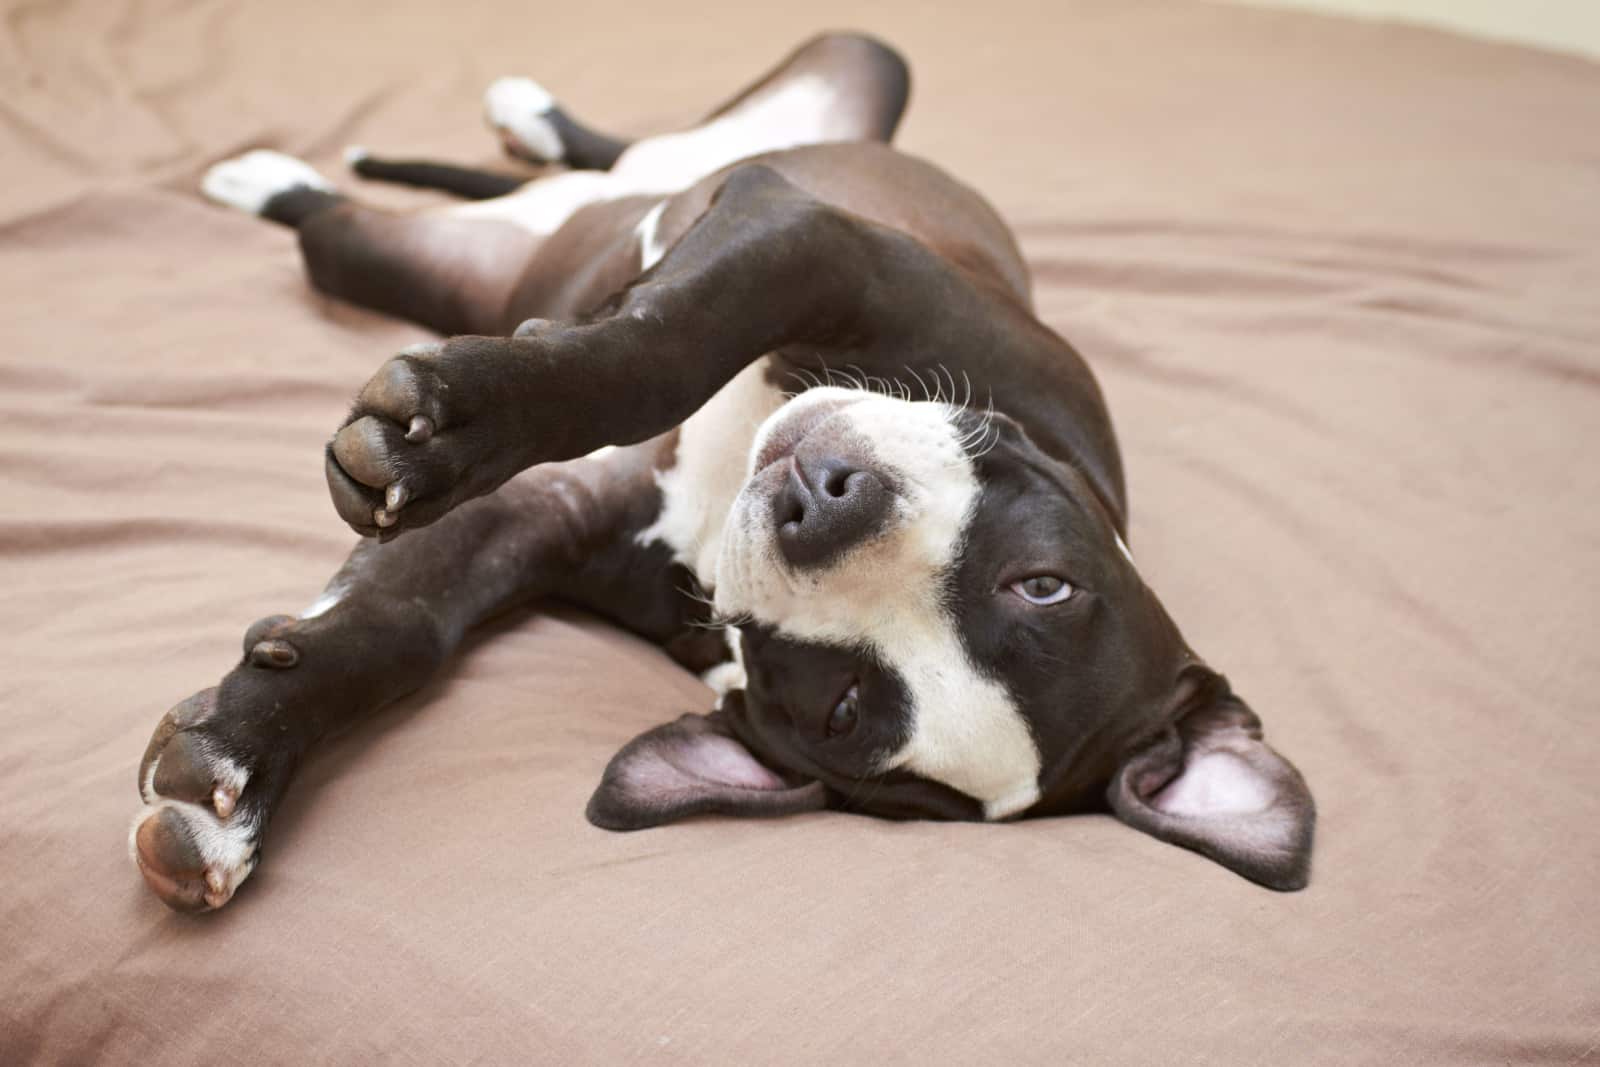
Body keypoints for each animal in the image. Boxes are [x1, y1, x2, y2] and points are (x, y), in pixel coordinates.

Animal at [131, 35, 1312, 921]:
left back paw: (291, 180)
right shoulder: (804, 236)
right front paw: (448, 429)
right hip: (855, 66)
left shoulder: (539, 517)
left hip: (428, 263)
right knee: (636, 158)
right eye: (1046, 584)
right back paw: (523, 122)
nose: (820, 504)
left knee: (337, 231)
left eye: (843, 707)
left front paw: (225, 783)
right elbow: (659, 350)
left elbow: (398, 625)